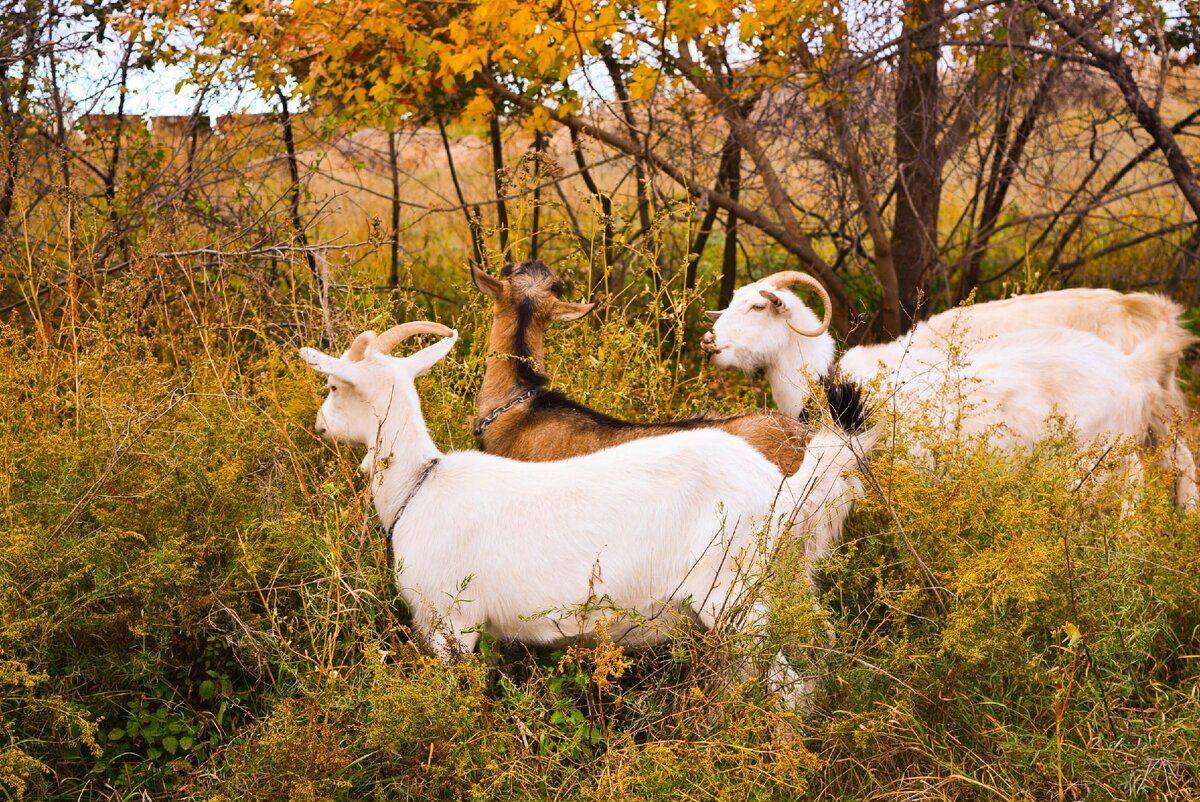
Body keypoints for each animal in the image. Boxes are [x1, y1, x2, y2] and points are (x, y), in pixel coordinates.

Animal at [304, 316, 878, 701]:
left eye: (332, 385)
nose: (319, 425)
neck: (418, 486)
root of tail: (780, 488)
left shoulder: (451, 625)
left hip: (736, 596)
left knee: (789, 684)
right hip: (781, 586)